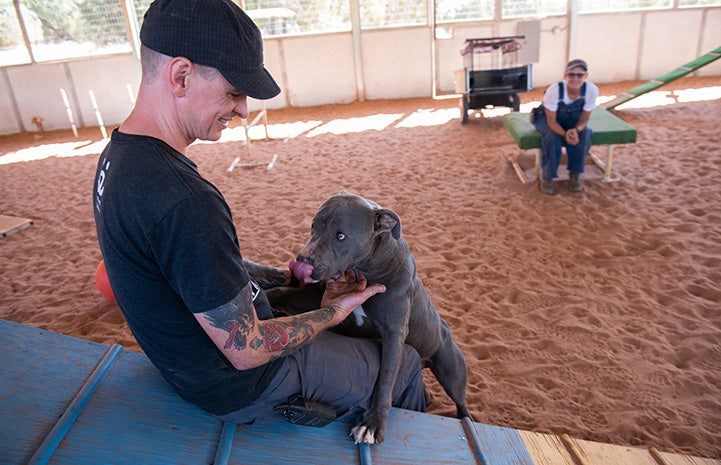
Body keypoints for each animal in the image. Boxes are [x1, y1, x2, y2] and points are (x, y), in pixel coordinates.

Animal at [290, 193, 470, 446]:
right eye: (314, 226)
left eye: (340, 235)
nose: (302, 261)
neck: (370, 268)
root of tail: (445, 329)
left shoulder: (394, 335)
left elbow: (385, 379)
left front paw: (373, 424)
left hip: (451, 372)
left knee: (461, 402)